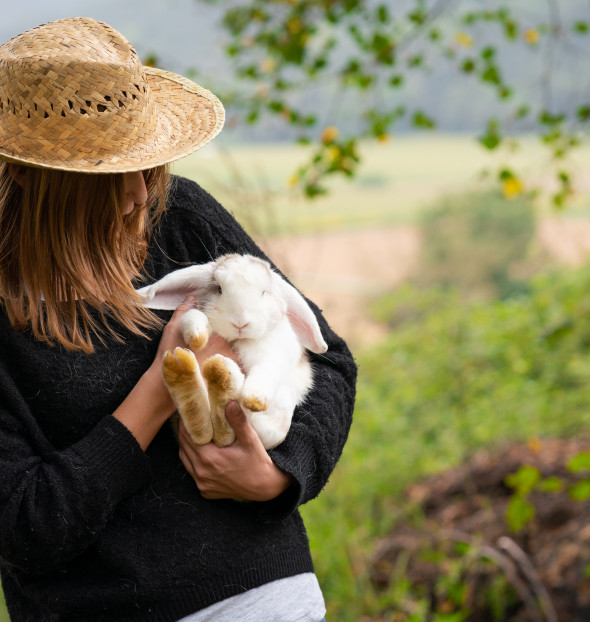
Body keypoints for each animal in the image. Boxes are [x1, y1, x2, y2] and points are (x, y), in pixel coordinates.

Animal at [137, 256, 330, 450]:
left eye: (264, 292)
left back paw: (221, 374)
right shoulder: (190, 317)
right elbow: (193, 318)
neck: (239, 339)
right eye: (219, 289)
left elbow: (265, 371)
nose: (240, 323)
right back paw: (188, 374)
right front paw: (197, 336)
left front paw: (254, 398)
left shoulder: (275, 355)